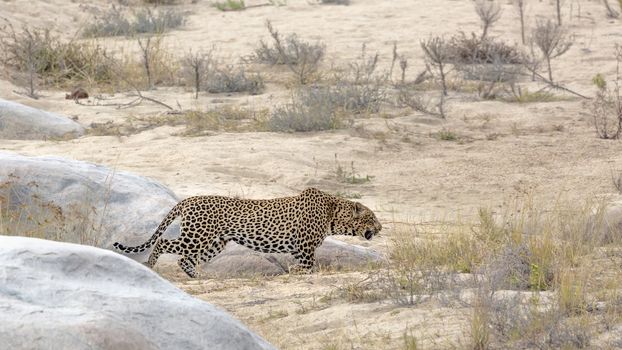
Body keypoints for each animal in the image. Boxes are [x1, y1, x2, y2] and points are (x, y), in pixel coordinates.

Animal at [114, 187, 382, 278]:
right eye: (371, 217)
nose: (380, 228)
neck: (333, 215)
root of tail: (188, 199)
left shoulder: (298, 248)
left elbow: (302, 265)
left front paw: (293, 272)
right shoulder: (305, 247)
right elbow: (308, 266)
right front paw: (300, 273)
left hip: (215, 243)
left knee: (184, 259)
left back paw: (198, 277)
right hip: (196, 237)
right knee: (163, 243)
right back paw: (150, 265)